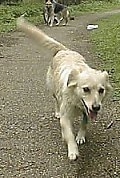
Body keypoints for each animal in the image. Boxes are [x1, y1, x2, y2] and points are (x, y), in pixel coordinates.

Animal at [16, 17, 111, 161]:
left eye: (101, 90)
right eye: (86, 89)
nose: (96, 107)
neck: (76, 100)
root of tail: (64, 50)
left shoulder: (86, 111)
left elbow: (84, 123)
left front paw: (80, 136)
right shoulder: (65, 117)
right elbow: (69, 134)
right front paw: (73, 150)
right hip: (53, 90)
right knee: (56, 101)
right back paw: (57, 112)